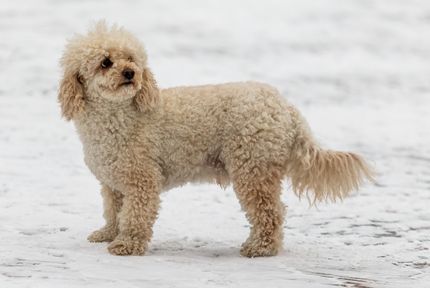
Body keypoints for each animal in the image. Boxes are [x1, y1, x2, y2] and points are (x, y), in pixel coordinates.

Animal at [58, 22, 372, 256]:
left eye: (131, 58)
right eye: (105, 62)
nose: (130, 73)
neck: (119, 116)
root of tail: (286, 108)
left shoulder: (142, 180)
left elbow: (136, 215)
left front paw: (127, 244)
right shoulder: (113, 183)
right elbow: (114, 211)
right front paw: (108, 233)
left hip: (252, 167)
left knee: (270, 212)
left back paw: (260, 248)